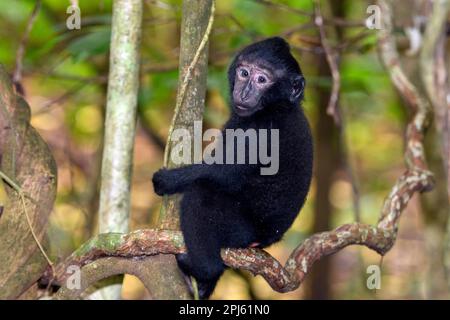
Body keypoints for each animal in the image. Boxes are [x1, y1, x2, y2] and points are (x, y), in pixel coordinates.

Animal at [152, 37, 312, 300]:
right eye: (244, 73)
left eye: (262, 80)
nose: (244, 91)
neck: (277, 105)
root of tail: (267, 238)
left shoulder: (262, 129)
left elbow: (224, 172)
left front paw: (166, 180)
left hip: (239, 228)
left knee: (200, 194)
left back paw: (203, 269)